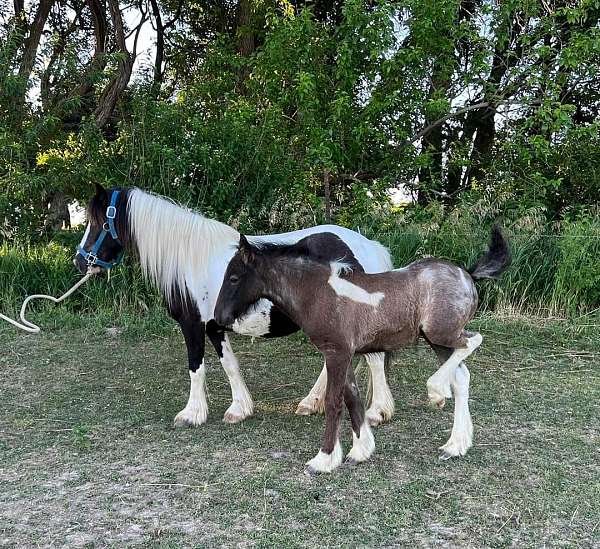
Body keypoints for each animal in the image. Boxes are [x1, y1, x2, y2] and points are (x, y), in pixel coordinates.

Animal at [74, 185, 394, 428]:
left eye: (100, 223)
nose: (79, 261)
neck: (191, 257)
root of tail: (367, 245)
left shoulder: (192, 325)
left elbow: (195, 367)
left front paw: (191, 414)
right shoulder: (214, 326)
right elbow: (229, 364)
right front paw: (239, 409)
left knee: (374, 360)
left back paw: (376, 412)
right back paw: (311, 403)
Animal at [216, 226, 510, 470]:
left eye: (234, 278)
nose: (219, 317)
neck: (319, 293)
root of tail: (467, 273)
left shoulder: (337, 353)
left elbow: (334, 402)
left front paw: (323, 459)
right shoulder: (343, 354)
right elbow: (352, 398)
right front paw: (360, 450)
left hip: (440, 332)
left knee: (473, 340)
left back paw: (437, 391)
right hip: (436, 339)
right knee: (461, 376)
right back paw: (456, 445)